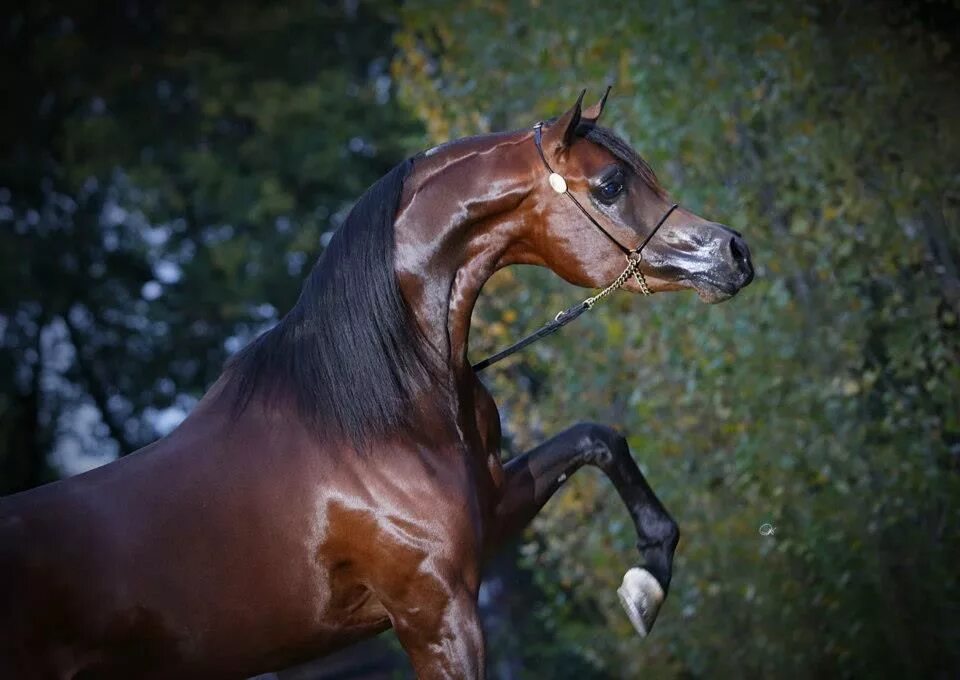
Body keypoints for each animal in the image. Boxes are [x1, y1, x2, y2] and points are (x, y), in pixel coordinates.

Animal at [0, 91, 752, 680]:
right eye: (611, 185)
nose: (733, 253)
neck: (378, 418)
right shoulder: (438, 615)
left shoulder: (492, 518)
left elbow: (598, 438)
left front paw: (646, 581)